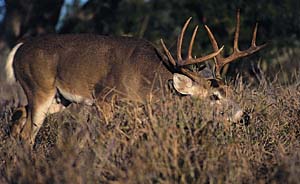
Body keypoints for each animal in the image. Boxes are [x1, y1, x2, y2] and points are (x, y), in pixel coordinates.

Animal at [5, 10, 264, 145]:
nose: (243, 116)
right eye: (214, 97)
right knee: (28, 133)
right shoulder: (104, 98)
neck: (150, 81)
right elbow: (109, 136)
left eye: (230, 91)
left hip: (60, 99)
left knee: (19, 114)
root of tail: (17, 50)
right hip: (40, 88)